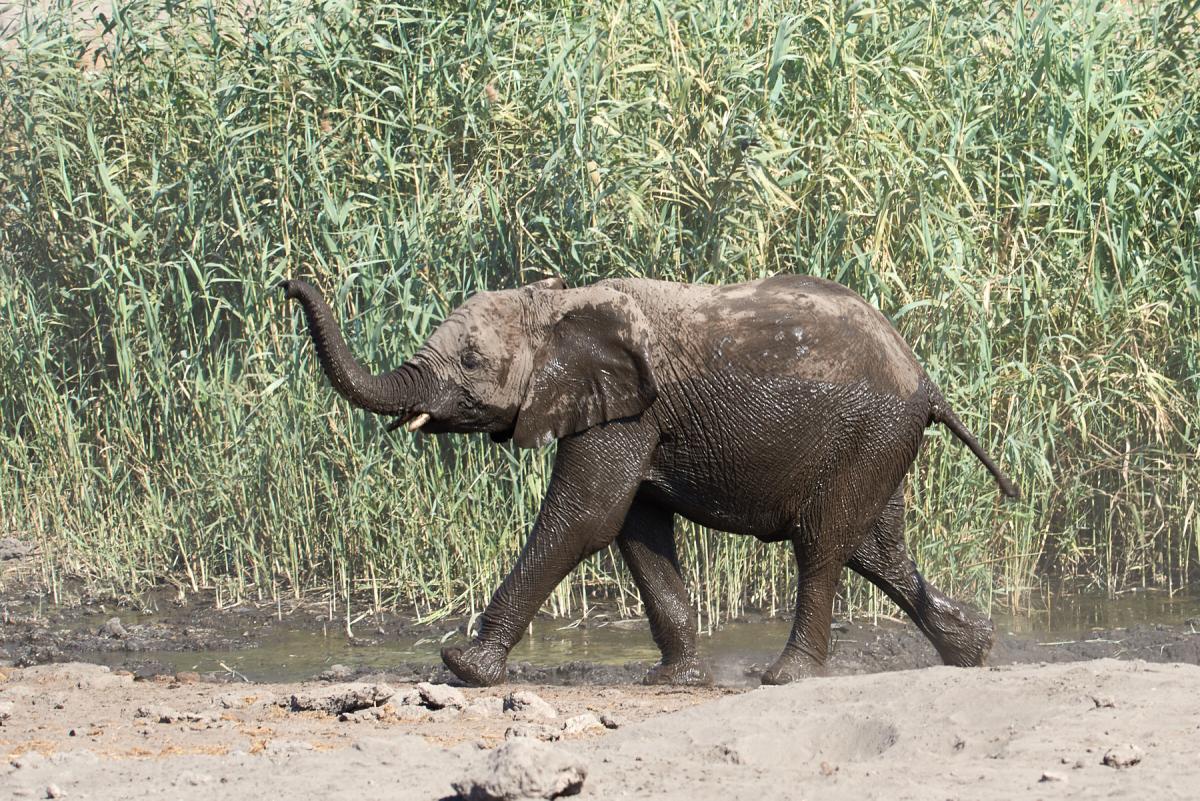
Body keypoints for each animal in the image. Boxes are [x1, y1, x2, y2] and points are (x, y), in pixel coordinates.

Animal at [281, 273, 1018, 687]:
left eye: (470, 359)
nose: (286, 286)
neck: (559, 305)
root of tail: (925, 379)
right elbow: (635, 528)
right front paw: (673, 678)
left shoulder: (627, 408)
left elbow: (584, 517)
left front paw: (464, 667)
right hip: (878, 443)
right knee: (876, 548)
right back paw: (975, 650)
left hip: (870, 432)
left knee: (823, 545)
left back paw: (786, 678)